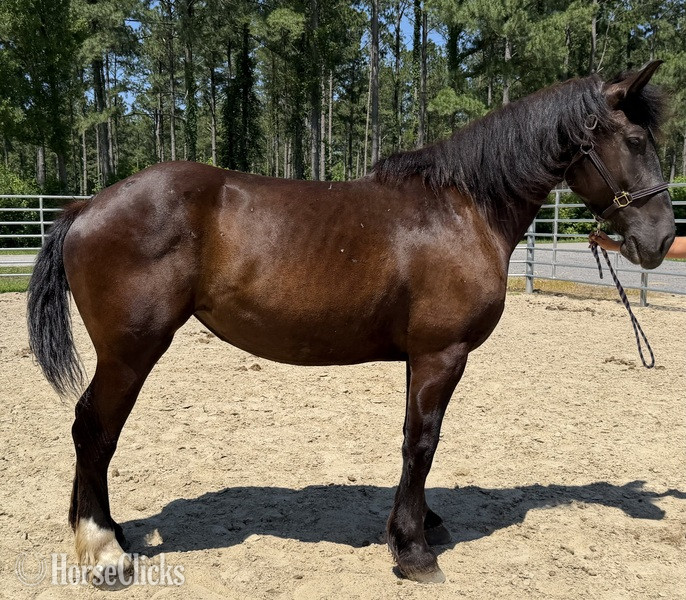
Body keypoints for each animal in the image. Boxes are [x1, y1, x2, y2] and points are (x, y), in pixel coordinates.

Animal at [27, 60, 674, 585]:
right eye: (635, 139)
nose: (663, 239)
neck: (462, 208)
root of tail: (87, 206)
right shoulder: (443, 353)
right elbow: (422, 441)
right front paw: (413, 552)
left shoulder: (421, 358)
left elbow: (415, 441)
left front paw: (421, 523)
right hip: (130, 352)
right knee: (94, 428)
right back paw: (103, 549)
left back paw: (105, 530)